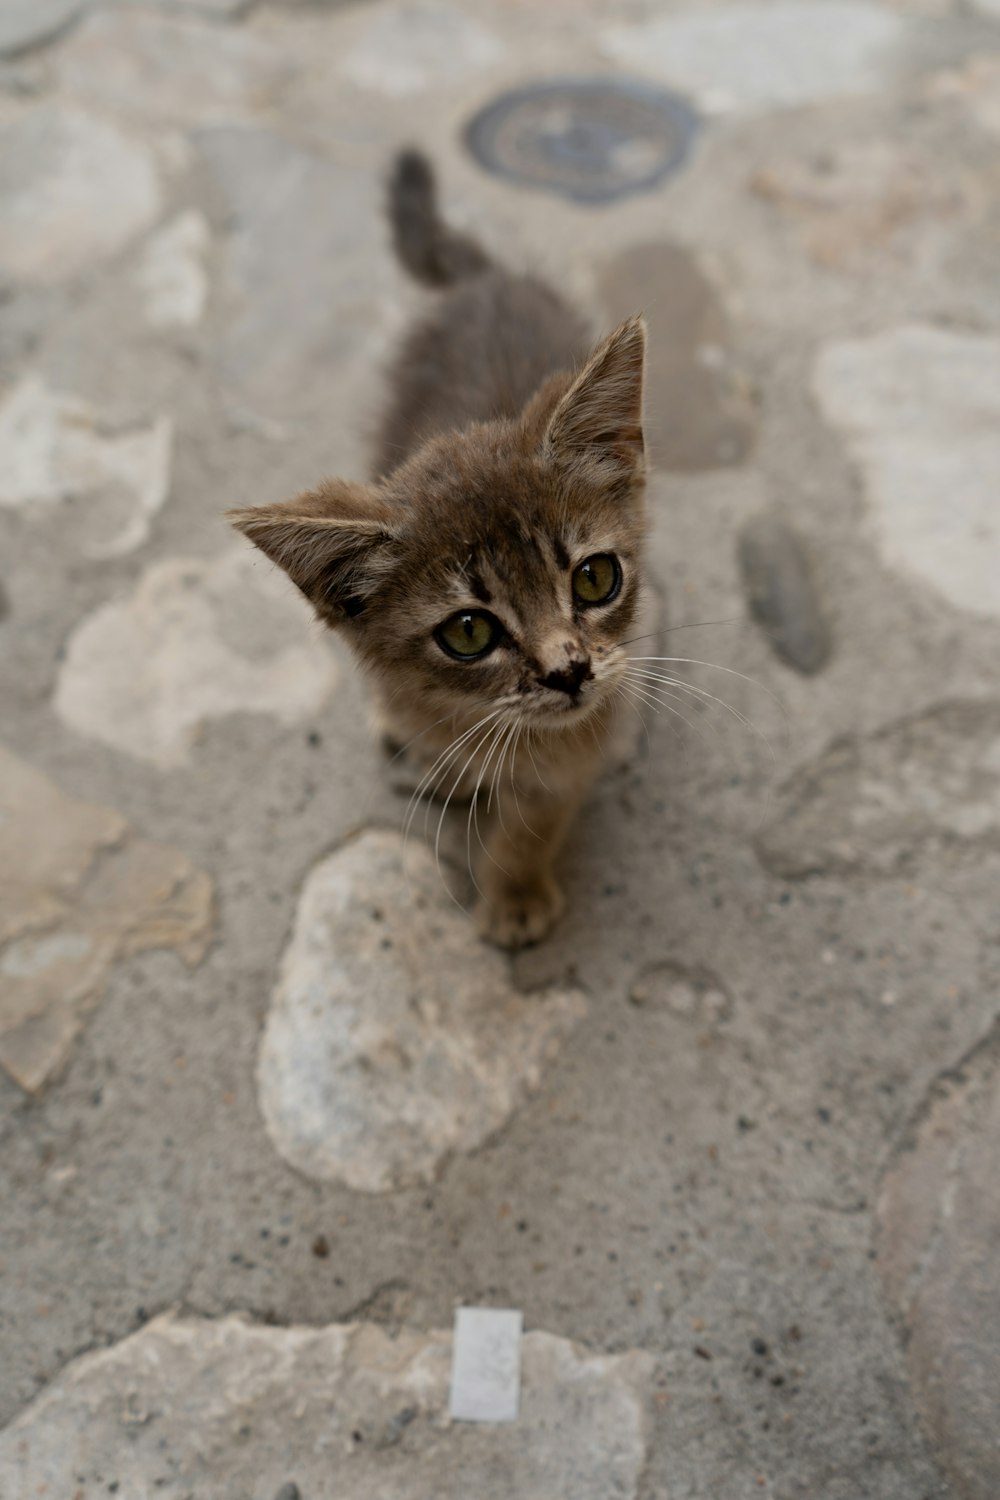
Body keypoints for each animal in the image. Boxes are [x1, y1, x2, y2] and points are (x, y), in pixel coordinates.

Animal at [229, 152, 650, 948]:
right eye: (469, 631)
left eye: (595, 579)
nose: (569, 672)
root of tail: (480, 280)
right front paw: (437, 761)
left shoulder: (577, 743)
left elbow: (538, 812)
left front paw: (515, 890)